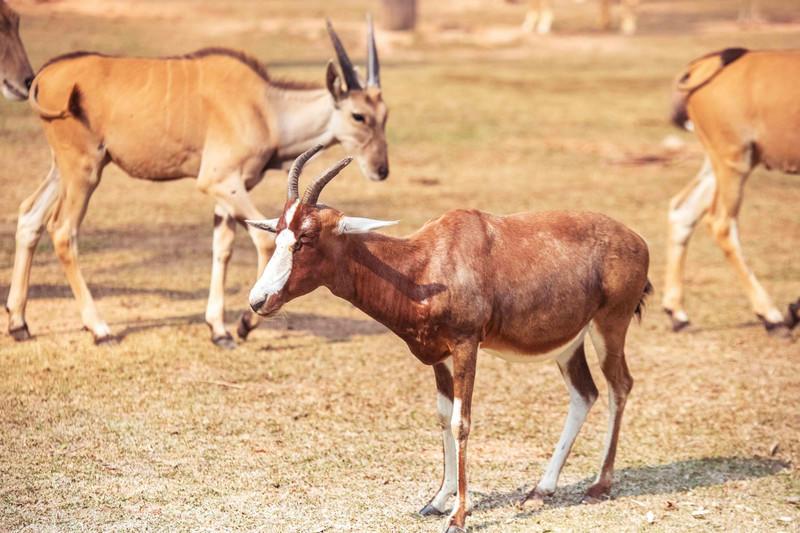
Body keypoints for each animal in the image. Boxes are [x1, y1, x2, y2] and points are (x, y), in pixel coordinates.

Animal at [5, 17, 388, 344]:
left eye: (385, 115)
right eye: (359, 116)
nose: (381, 169)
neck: (266, 108)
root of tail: (45, 76)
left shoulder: (228, 193)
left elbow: (222, 248)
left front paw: (218, 329)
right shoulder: (219, 182)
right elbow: (263, 241)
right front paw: (244, 323)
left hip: (64, 169)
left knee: (29, 216)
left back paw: (18, 323)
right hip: (84, 170)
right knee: (62, 231)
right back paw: (100, 328)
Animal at [247, 145, 652, 532]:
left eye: (306, 238)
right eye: (278, 232)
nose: (258, 300)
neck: (425, 262)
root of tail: (637, 240)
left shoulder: (465, 346)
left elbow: (462, 421)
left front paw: (458, 517)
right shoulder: (439, 355)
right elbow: (444, 416)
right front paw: (438, 500)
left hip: (609, 326)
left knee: (620, 385)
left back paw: (599, 485)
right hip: (569, 345)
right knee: (585, 394)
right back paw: (540, 490)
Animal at [664, 47, 800, 334]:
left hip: (719, 162)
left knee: (683, 209)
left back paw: (677, 313)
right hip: (735, 161)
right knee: (721, 223)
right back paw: (771, 316)